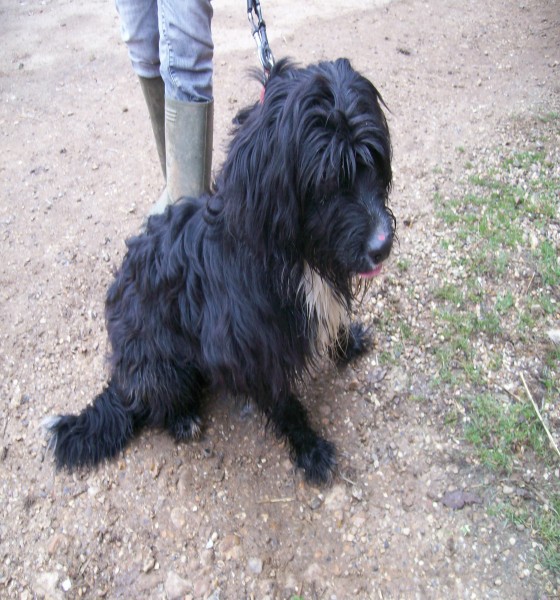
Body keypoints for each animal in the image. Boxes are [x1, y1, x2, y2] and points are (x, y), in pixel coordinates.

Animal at [44, 58, 394, 486]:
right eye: (327, 181)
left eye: (373, 160)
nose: (383, 246)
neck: (293, 255)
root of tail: (123, 377)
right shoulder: (251, 351)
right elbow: (285, 405)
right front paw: (309, 448)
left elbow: (336, 327)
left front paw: (348, 344)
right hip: (162, 364)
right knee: (153, 403)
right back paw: (181, 419)